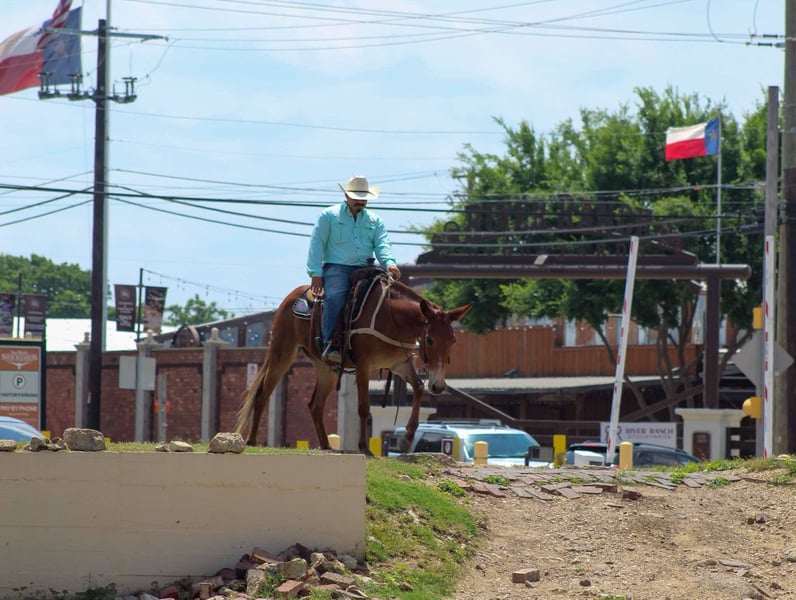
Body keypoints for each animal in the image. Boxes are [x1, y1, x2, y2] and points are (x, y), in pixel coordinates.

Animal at [235, 271, 472, 454]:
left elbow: (419, 388)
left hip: (325, 368)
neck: (392, 318)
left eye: (453, 340)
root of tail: (291, 296)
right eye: (430, 339)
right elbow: (364, 407)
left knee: (315, 405)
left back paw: (326, 445)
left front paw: (407, 439)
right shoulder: (364, 366)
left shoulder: (399, 365)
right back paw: (252, 440)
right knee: (263, 394)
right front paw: (364, 447)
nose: (438, 386)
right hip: (282, 353)